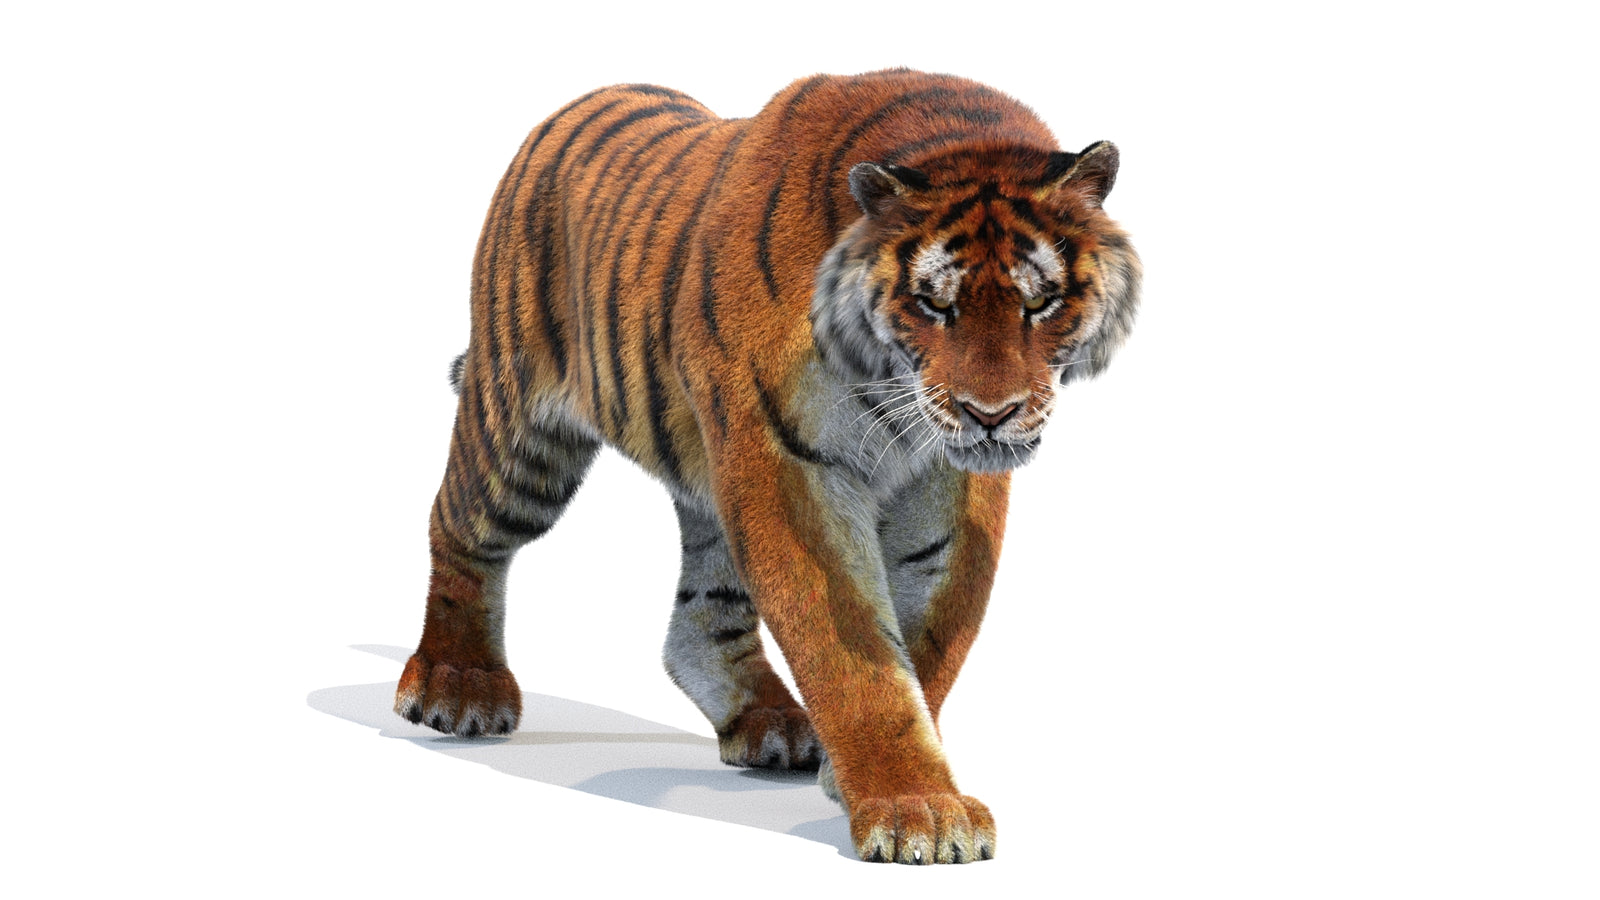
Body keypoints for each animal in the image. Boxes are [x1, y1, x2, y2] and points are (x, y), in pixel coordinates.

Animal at [393, 68, 1141, 865]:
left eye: (1043, 302)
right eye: (933, 304)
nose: (990, 414)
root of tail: (582, 100)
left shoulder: (949, 486)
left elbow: (935, 633)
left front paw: (867, 781)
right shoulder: (791, 467)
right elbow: (856, 656)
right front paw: (919, 810)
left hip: (711, 473)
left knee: (701, 617)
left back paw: (771, 724)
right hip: (522, 435)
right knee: (459, 527)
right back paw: (457, 686)